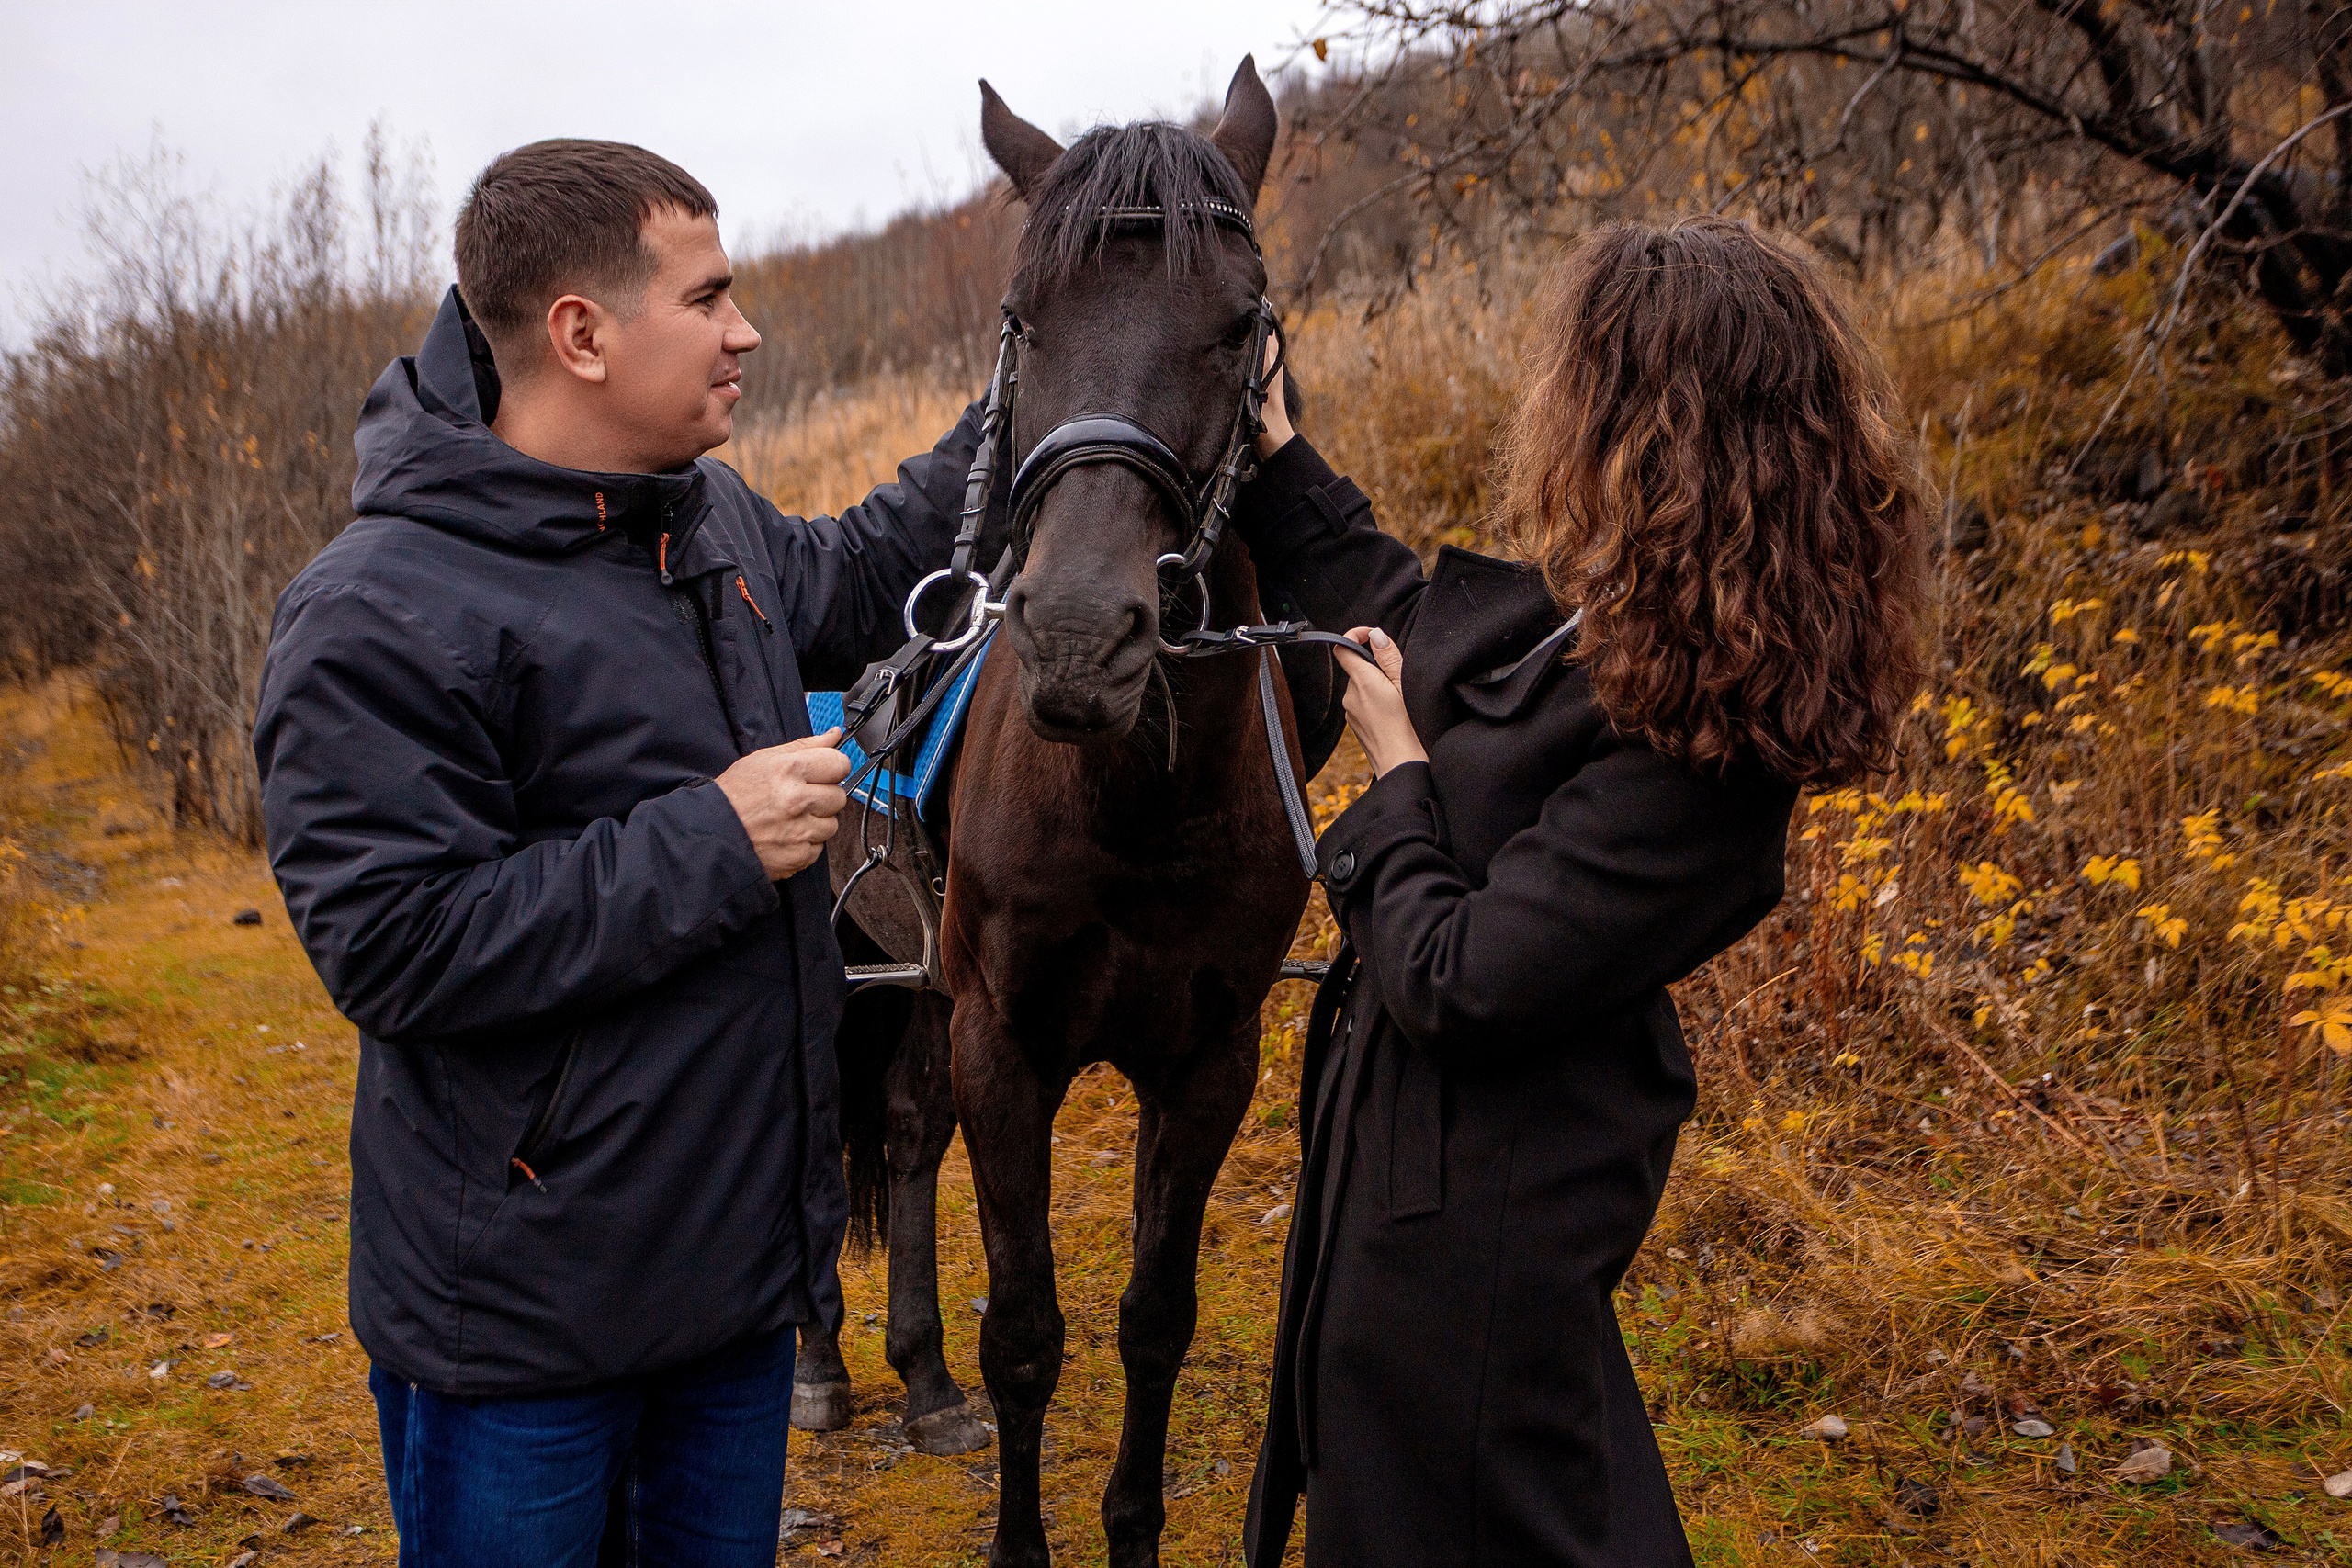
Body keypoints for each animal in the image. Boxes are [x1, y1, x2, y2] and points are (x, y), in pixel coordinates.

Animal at [789, 58, 1327, 1568]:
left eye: (1238, 324)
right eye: (1025, 319)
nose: (1085, 637)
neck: (1138, 799)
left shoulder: (1204, 1060)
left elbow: (1155, 1321)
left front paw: (1129, 1528)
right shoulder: (1008, 1040)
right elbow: (1028, 1332)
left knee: (903, 1133)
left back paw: (919, 1380)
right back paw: (826, 1369)